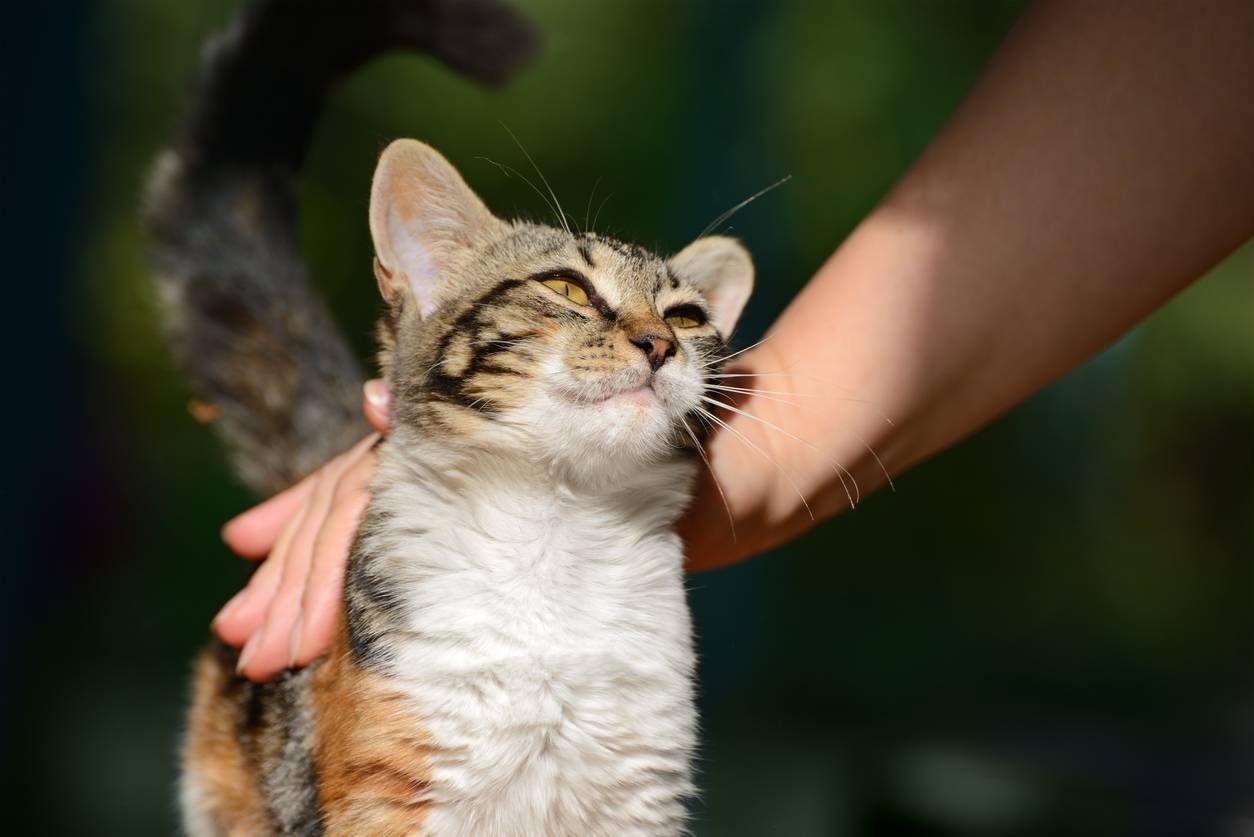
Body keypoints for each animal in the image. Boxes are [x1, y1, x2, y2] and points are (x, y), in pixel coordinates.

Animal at [146, 1, 752, 837]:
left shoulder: (638, 795)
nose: (659, 344)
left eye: (688, 317)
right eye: (567, 289)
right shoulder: (392, 793)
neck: (556, 532)